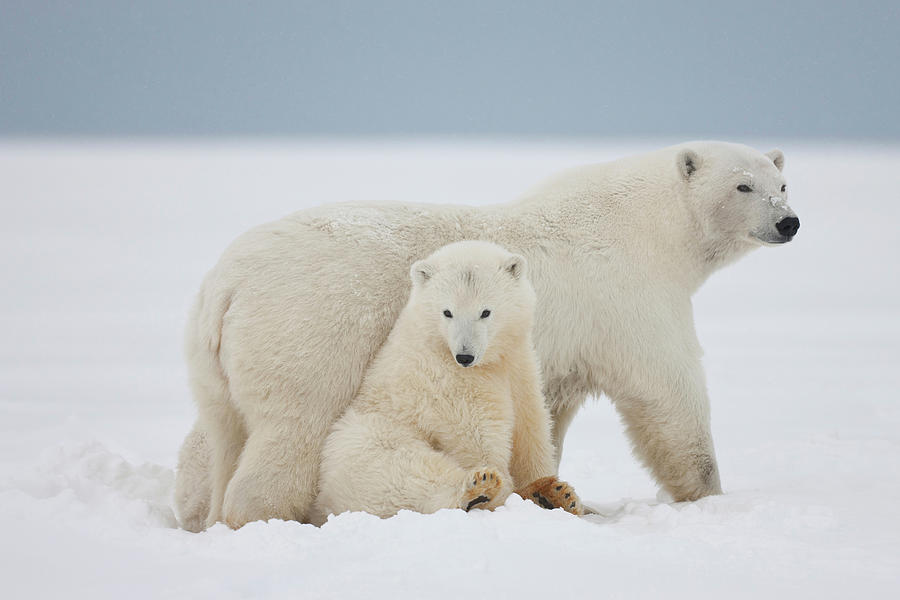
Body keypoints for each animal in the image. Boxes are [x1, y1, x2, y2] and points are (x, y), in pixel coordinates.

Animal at [312, 241, 584, 524]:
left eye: (485, 312)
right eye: (447, 312)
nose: (465, 356)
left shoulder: (519, 364)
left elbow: (530, 425)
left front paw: (552, 490)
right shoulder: (449, 380)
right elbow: (477, 433)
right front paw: (504, 486)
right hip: (371, 438)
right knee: (405, 471)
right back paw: (478, 488)